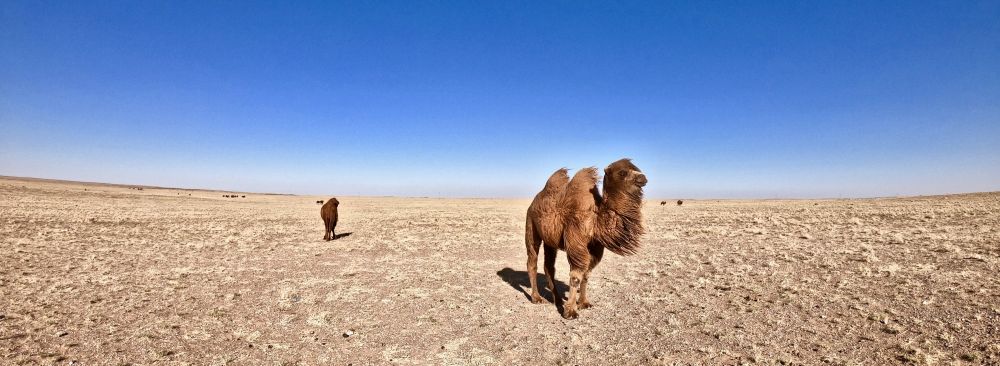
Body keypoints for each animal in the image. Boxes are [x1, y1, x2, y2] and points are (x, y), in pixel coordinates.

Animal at [524, 159, 648, 318]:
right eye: (622, 172)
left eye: (637, 168)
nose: (643, 177)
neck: (596, 219)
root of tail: (533, 202)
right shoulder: (576, 242)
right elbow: (576, 276)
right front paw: (570, 311)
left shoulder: (595, 247)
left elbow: (586, 275)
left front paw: (583, 303)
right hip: (531, 225)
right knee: (532, 260)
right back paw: (536, 298)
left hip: (550, 240)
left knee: (549, 267)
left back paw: (557, 300)